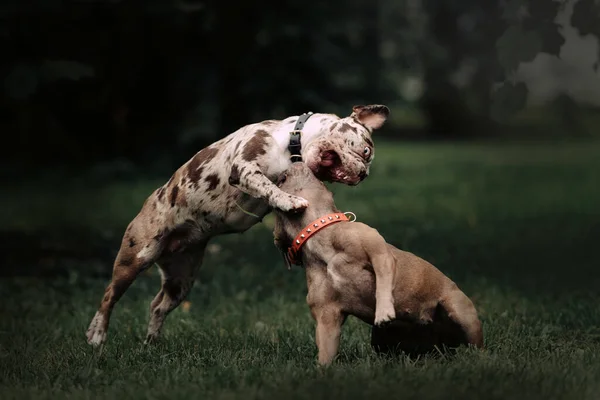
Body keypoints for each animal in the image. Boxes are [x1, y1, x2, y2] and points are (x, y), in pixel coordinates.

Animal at [86, 104, 392, 346]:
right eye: (366, 150)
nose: (363, 174)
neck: (292, 145)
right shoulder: (245, 169)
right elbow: (268, 186)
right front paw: (290, 200)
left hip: (181, 279)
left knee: (158, 306)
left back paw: (151, 342)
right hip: (136, 256)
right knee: (109, 295)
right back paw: (97, 335)